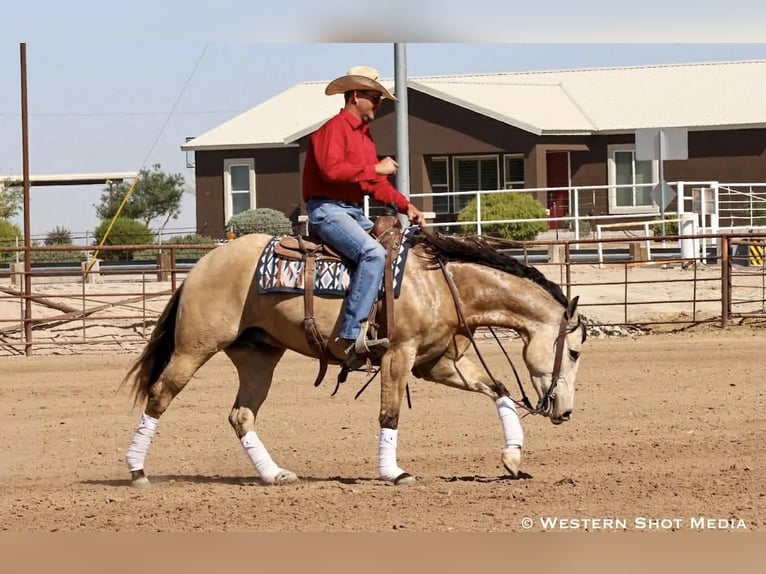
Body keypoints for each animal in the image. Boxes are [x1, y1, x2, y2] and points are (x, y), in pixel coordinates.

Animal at [122, 228, 586, 487]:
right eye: (575, 350)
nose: (565, 411)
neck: (440, 282)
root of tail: (200, 266)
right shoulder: (399, 355)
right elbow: (389, 414)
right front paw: (393, 472)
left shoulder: (436, 362)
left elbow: (499, 388)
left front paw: (513, 458)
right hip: (194, 347)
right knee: (160, 395)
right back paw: (138, 471)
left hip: (258, 356)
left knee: (241, 416)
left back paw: (274, 475)